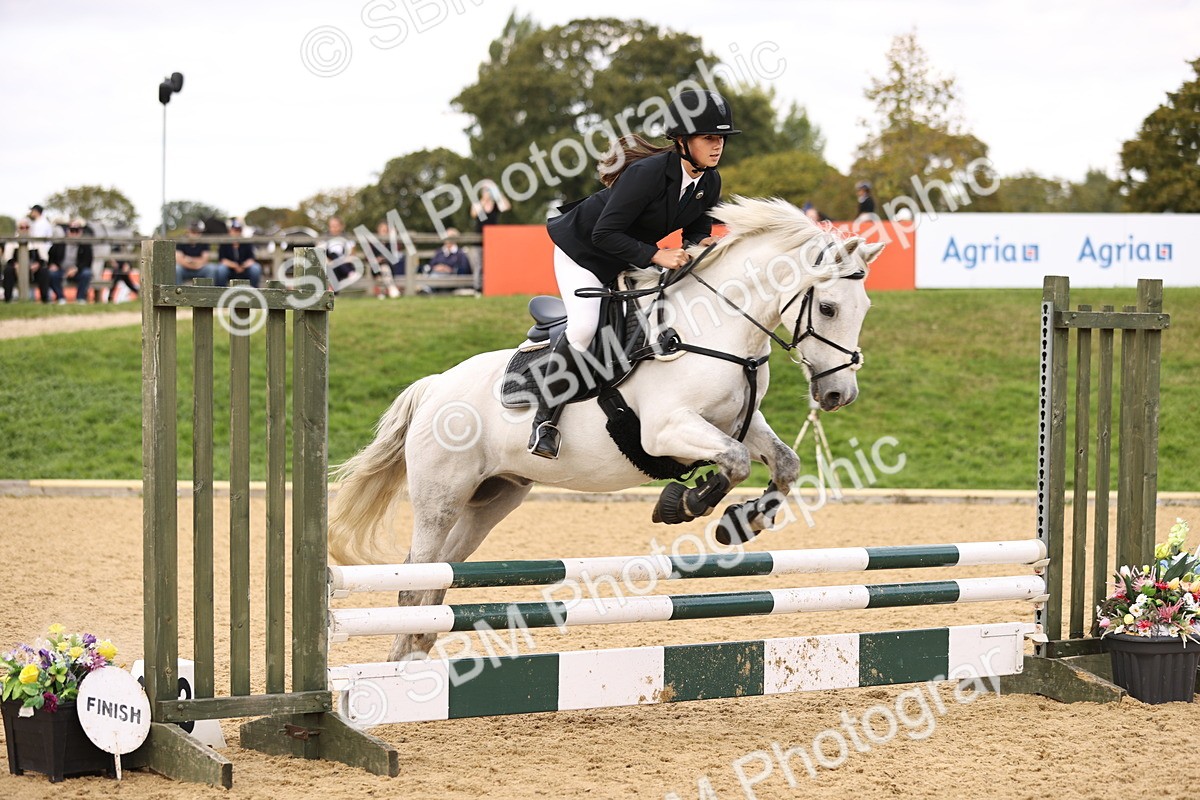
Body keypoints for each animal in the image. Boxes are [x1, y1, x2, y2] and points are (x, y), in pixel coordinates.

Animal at [329, 196, 883, 661]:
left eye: (864, 310)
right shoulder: (666, 430)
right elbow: (735, 462)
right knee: (414, 580)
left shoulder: (739, 424)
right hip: (440, 497)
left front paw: (742, 521)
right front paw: (684, 504)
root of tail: (434, 387)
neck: (718, 330)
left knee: (437, 578)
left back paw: (415, 659)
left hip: (492, 499)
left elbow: (783, 464)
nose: (839, 395)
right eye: (828, 307)